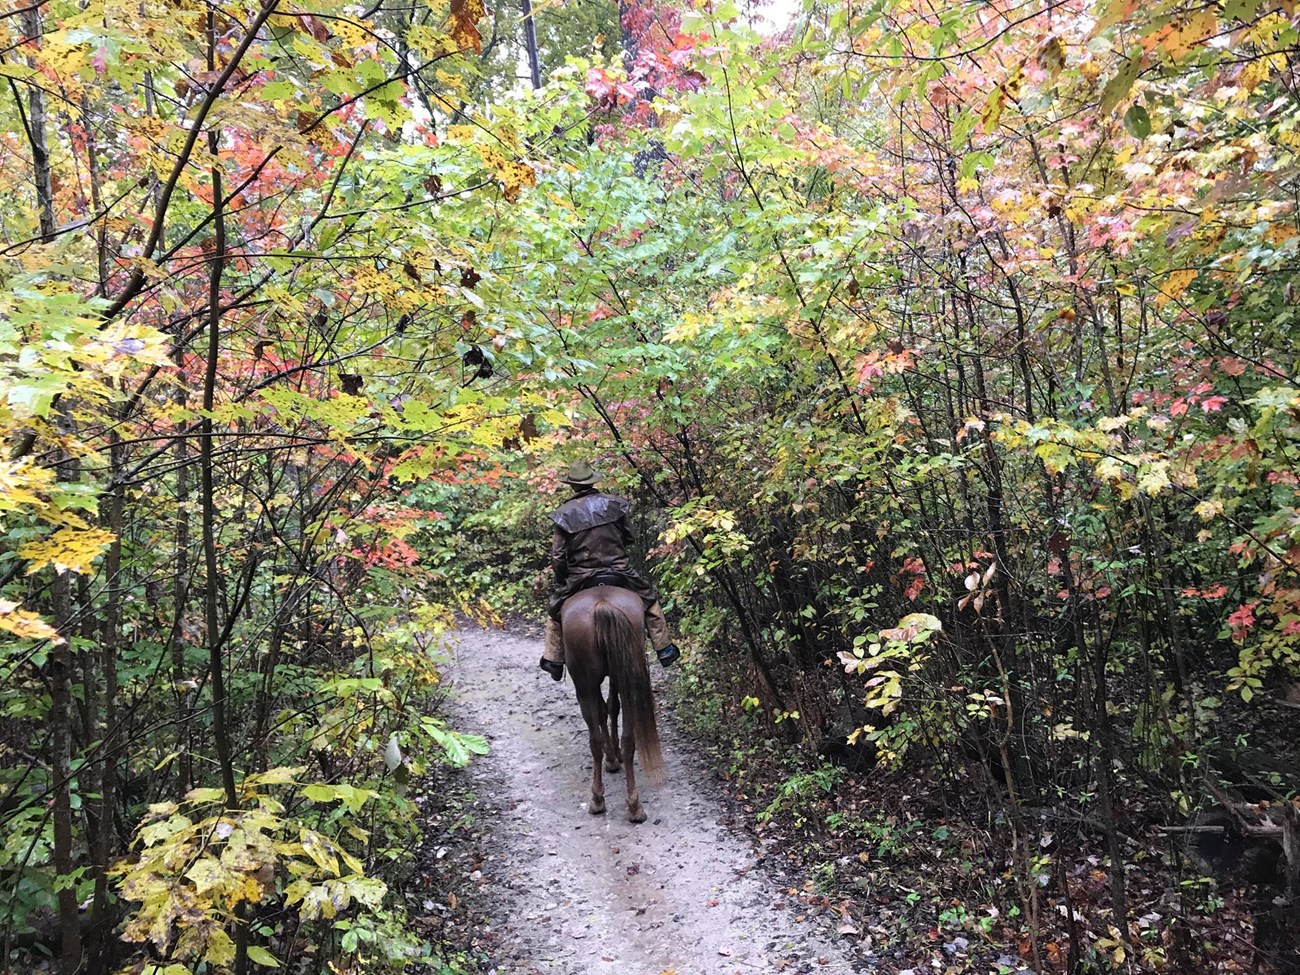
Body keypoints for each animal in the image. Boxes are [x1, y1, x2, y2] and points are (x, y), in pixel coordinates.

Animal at [559, 587, 665, 826]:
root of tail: (603, 605)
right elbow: (612, 706)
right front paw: (614, 753)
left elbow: (603, 709)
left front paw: (611, 757)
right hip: (626, 675)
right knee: (628, 738)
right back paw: (635, 807)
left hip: (584, 685)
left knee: (595, 739)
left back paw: (597, 799)